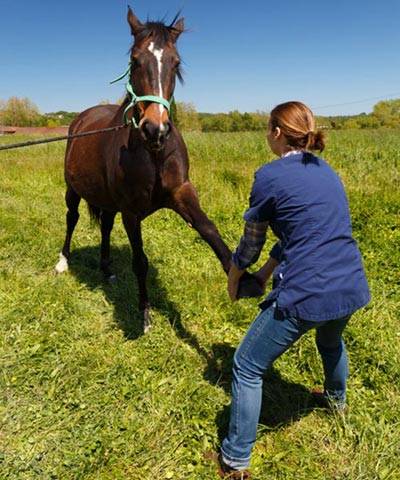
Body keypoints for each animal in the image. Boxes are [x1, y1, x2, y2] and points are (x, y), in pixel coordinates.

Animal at [55, 5, 260, 332]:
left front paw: (242, 278)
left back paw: (106, 267)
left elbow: (208, 228)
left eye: (175, 62)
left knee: (105, 225)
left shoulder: (181, 192)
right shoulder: (131, 212)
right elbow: (140, 261)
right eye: (134, 60)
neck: (153, 155)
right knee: (71, 218)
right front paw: (145, 313)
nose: (156, 129)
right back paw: (62, 262)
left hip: (107, 200)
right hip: (73, 189)